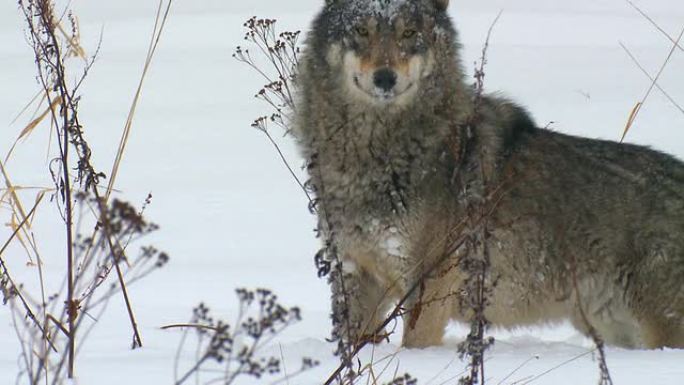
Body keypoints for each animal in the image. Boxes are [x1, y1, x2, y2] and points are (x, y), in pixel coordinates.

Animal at [292, 0, 684, 348]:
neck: (372, 155)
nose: (385, 78)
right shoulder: (355, 273)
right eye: (362, 31)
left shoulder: (428, 288)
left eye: (409, 33)